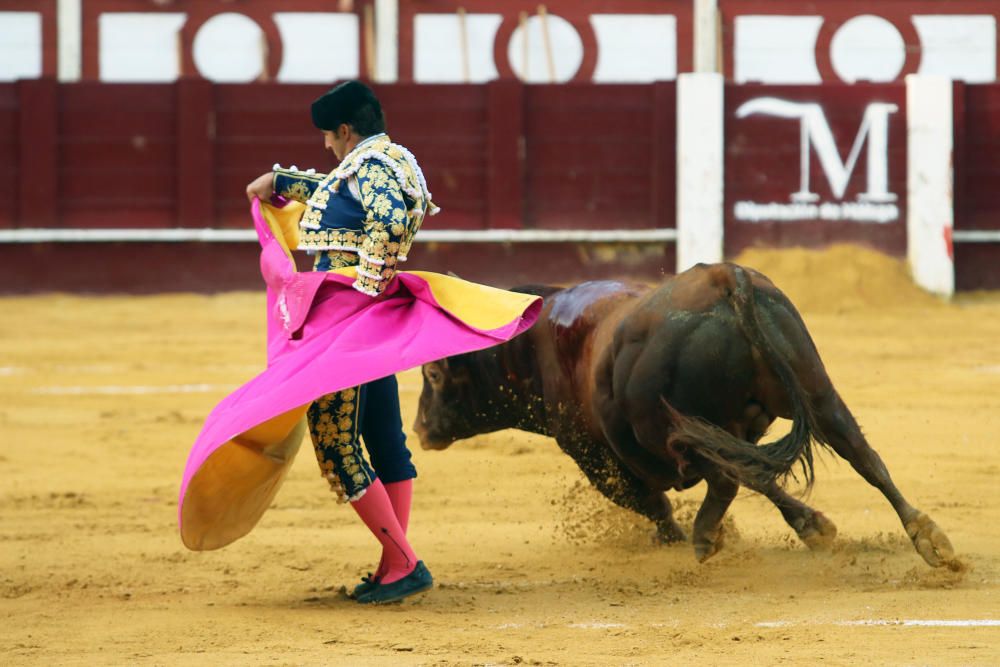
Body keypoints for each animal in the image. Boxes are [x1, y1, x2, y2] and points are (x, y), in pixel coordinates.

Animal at [412, 264, 952, 568]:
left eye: (434, 373)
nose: (419, 429)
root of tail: (726, 279)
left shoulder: (594, 456)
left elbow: (652, 502)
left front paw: (671, 537)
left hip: (673, 428)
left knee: (735, 478)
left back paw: (711, 537)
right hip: (813, 389)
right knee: (860, 452)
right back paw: (930, 539)